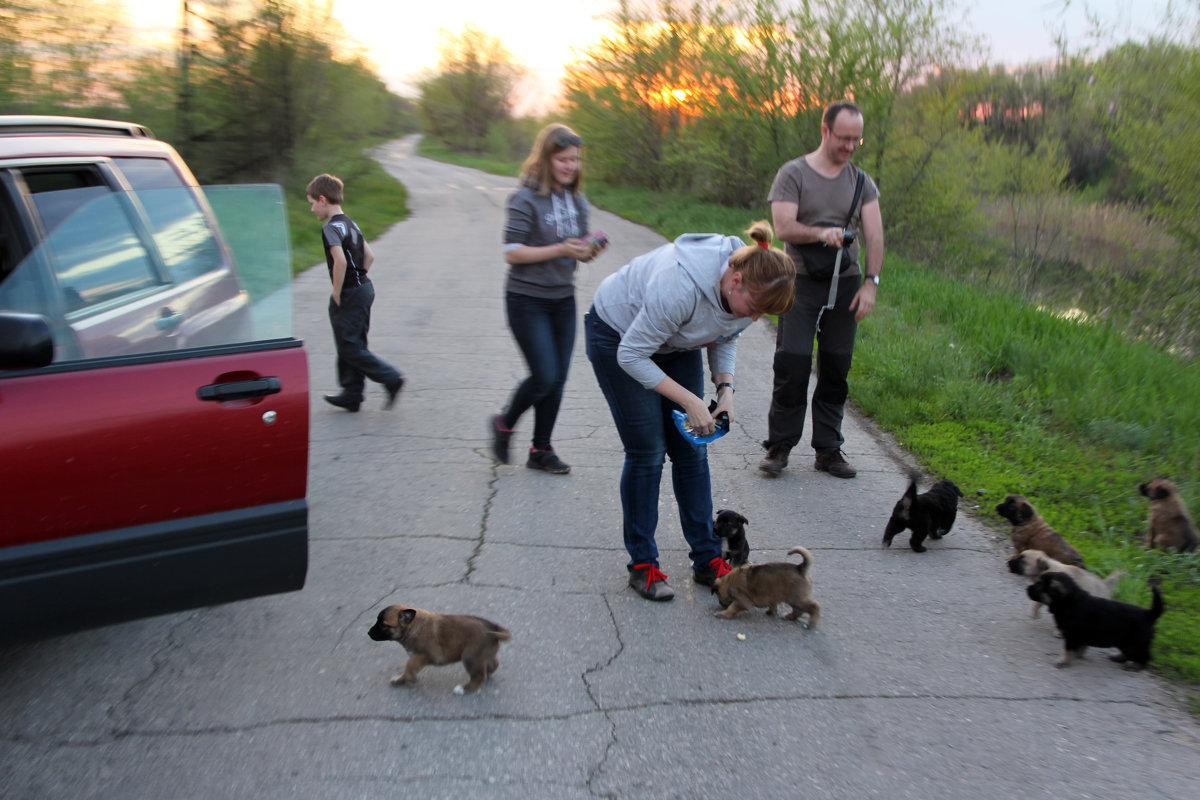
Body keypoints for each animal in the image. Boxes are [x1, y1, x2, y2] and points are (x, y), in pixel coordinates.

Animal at [369, 606, 511, 695]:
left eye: (383, 624)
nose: (368, 633)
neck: (413, 626)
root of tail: (492, 630)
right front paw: (401, 679)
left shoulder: (425, 655)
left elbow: (410, 665)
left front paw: (406, 678)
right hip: (482, 655)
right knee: (493, 664)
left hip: (470, 657)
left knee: (479, 676)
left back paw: (463, 689)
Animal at [1022, 573, 1161, 671]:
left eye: (1039, 585)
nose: (1027, 588)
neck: (1069, 601)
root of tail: (1148, 614)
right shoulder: (1080, 637)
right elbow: (1081, 647)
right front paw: (1078, 656)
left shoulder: (1073, 636)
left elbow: (1068, 650)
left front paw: (1063, 661)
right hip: (1127, 643)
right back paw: (1118, 657)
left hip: (1135, 643)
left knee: (1145, 657)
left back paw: (1135, 666)